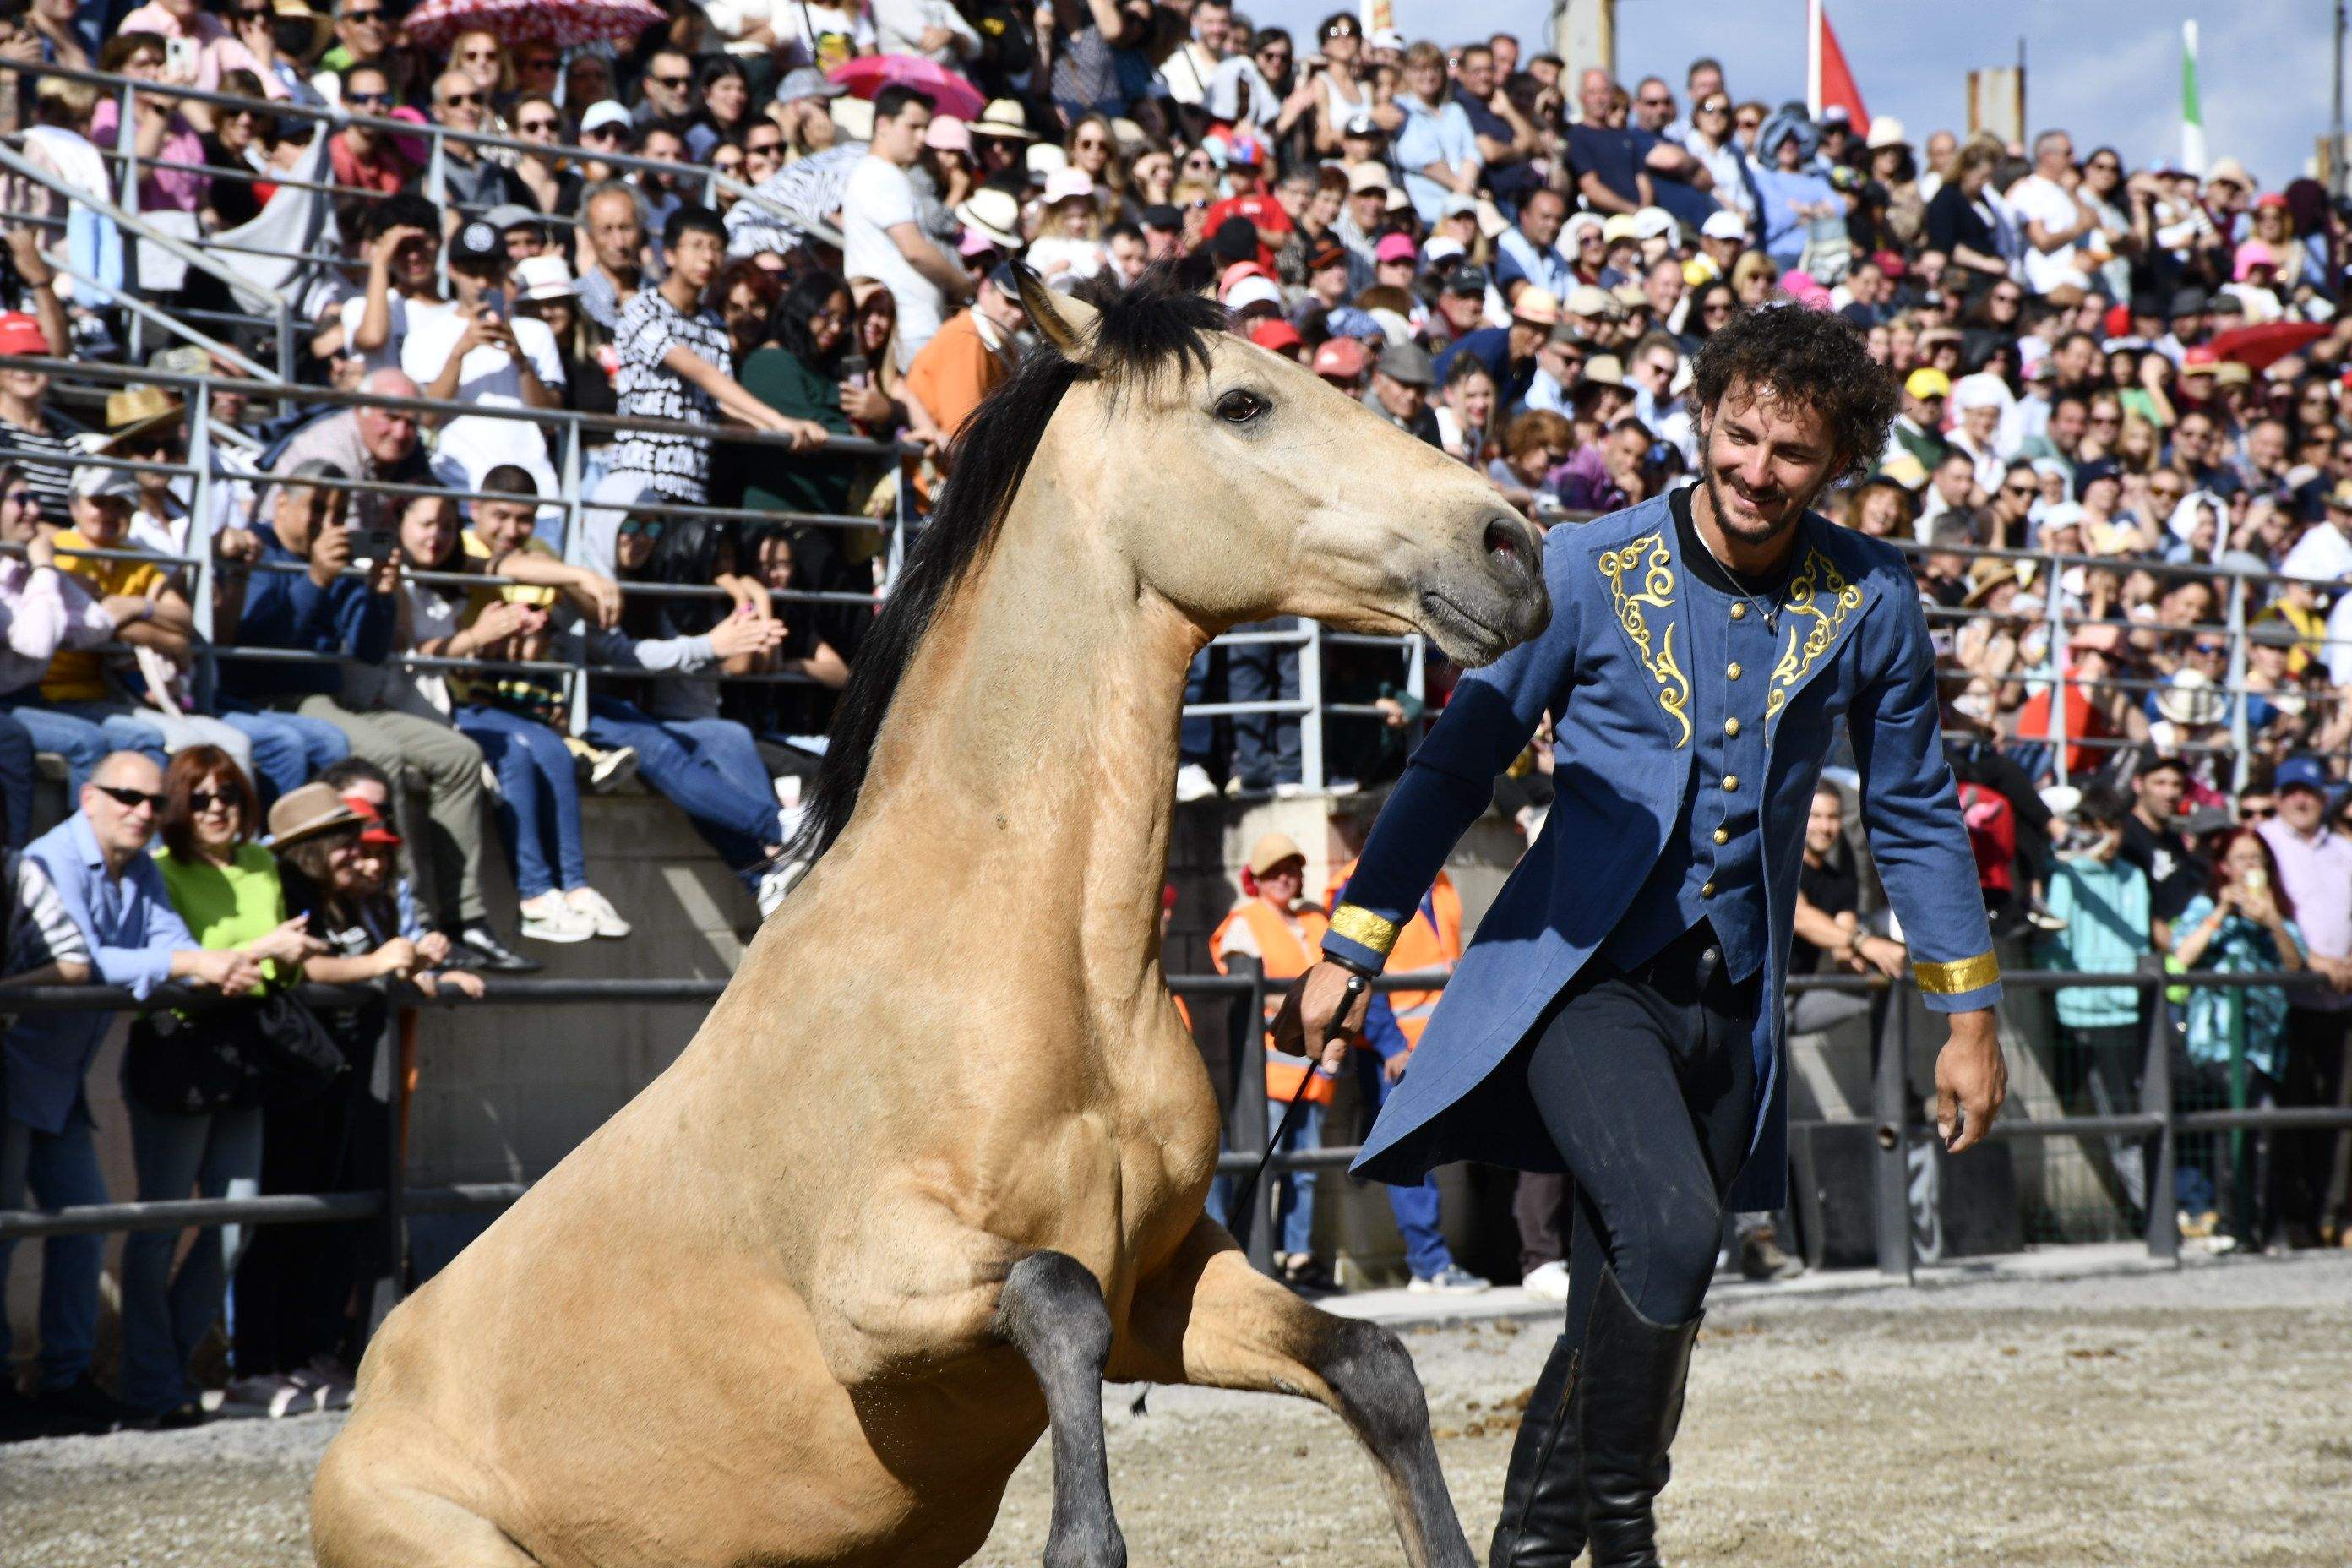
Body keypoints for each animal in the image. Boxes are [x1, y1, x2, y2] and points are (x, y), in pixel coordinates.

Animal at [317, 270, 1561, 1568]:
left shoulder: (1171, 1286)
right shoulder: (882, 1300)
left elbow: (1372, 1364)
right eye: (1243, 402)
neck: (1017, 956)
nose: (1511, 544)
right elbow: (1058, 1303)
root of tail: (362, 1407)